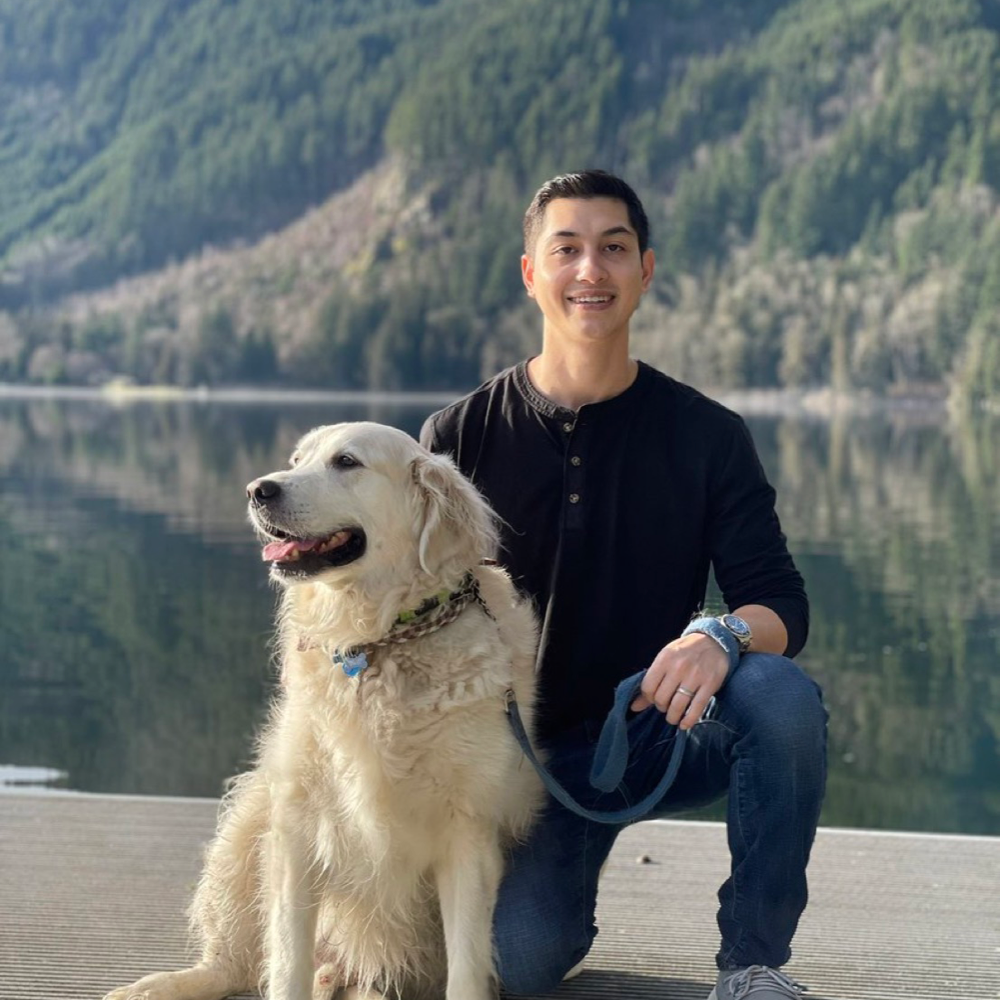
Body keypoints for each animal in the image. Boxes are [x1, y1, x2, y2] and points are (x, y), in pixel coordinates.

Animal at [105, 422, 544, 1000]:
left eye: (347, 462)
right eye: (297, 460)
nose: (258, 489)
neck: (378, 642)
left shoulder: (468, 832)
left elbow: (468, 967)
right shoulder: (297, 827)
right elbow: (287, 959)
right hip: (245, 828)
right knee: (231, 962)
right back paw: (158, 985)